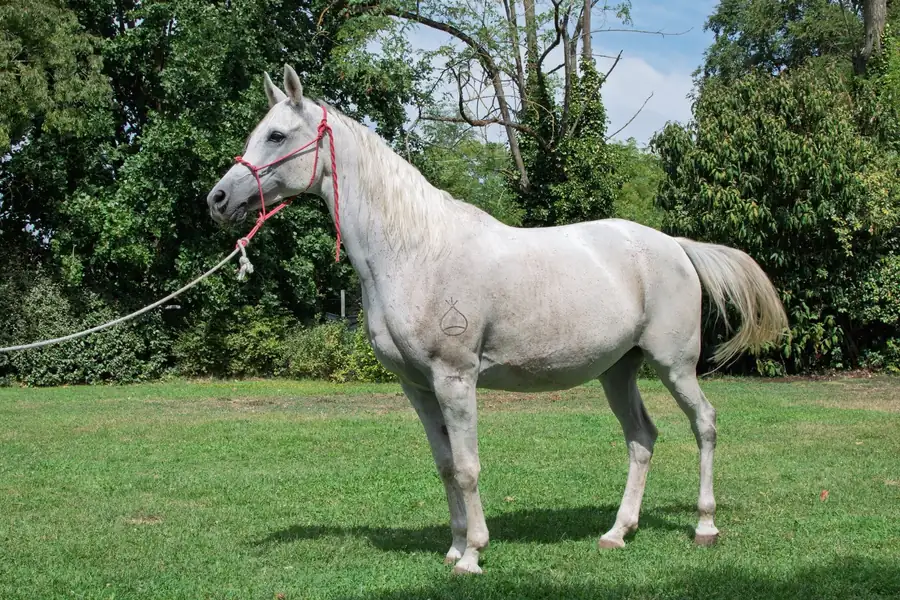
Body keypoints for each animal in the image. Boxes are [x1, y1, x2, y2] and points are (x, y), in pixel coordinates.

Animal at [206, 64, 788, 575]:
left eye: (277, 135)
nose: (218, 199)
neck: (415, 250)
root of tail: (674, 245)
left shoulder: (455, 379)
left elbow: (467, 468)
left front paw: (473, 554)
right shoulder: (419, 387)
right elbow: (445, 466)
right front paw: (453, 546)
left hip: (674, 365)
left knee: (704, 423)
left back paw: (705, 526)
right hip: (618, 370)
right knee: (641, 438)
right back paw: (616, 532)